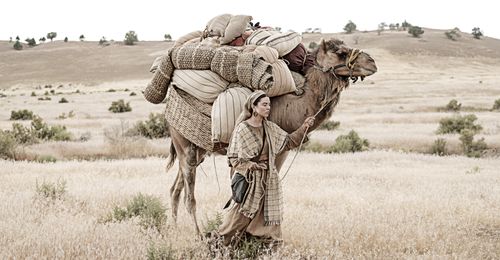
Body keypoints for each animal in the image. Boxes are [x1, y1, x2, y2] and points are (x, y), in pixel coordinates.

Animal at [166, 39, 376, 236]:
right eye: (341, 52)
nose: (372, 63)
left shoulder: (281, 150)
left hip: (197, 150)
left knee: (175, 189)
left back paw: (174, 230)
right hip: (185, 145)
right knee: (189, 196)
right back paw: (197, 235)